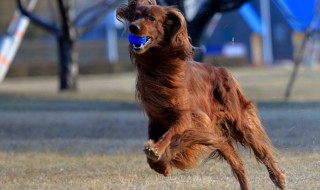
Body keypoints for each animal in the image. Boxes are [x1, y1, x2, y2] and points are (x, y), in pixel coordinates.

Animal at [116, 2, 286, 190]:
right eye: (135, 16)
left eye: (152, 18)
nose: (133, 27)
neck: (159, 67)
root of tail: (222, 70)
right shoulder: (156, 118)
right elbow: (162, 143)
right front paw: (161, 164)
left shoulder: (187, 117)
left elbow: (172, 135)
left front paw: (157, 152)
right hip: (219, 134)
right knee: (238, 165)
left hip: (239, 123)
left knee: (261, 151)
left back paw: (278, 178)